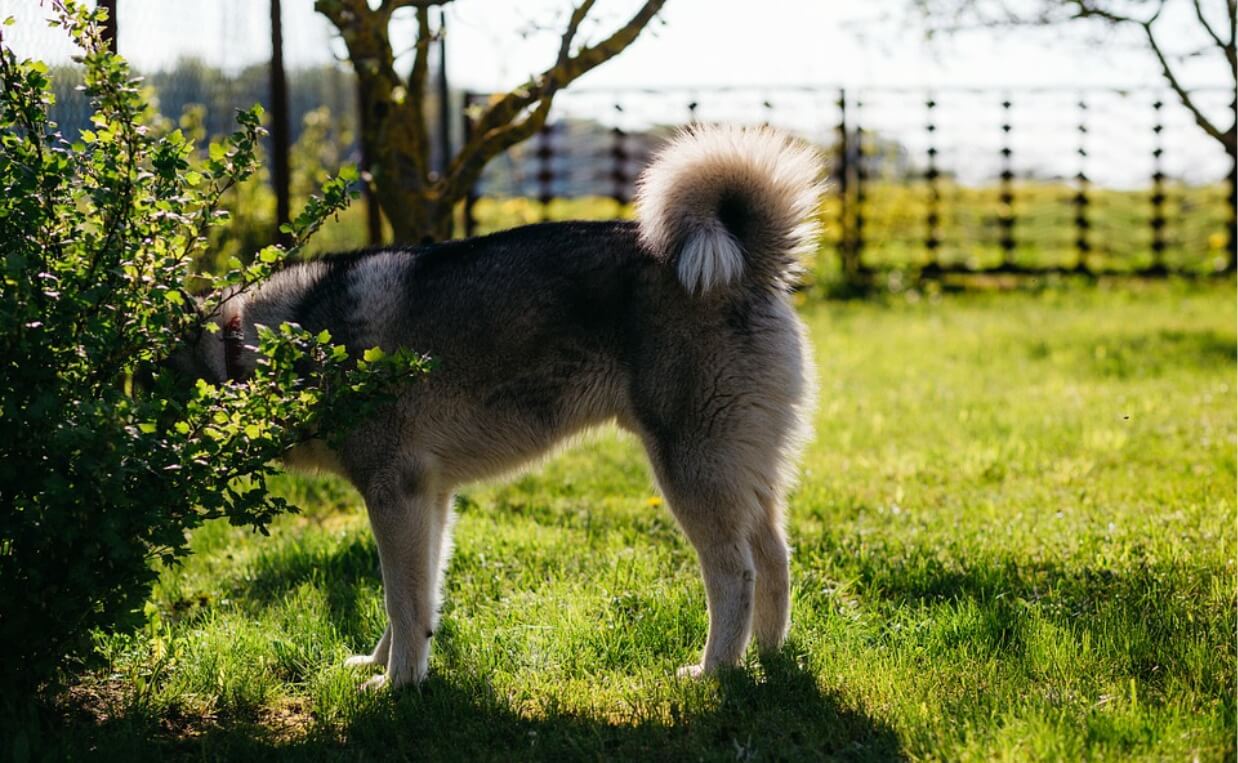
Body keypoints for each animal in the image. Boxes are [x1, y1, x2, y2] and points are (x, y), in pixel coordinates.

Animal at [179, 126, 822, 693]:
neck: (271, 341)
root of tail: (748, 264)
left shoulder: (395, 494)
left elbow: (401, 601)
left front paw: (396, 685)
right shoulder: (428, 498)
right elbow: (418, 599)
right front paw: (384, 664)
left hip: (691, 471)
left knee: (735, 574)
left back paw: (716, 670)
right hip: (743, 475)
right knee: (775, 557)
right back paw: (768, 656)